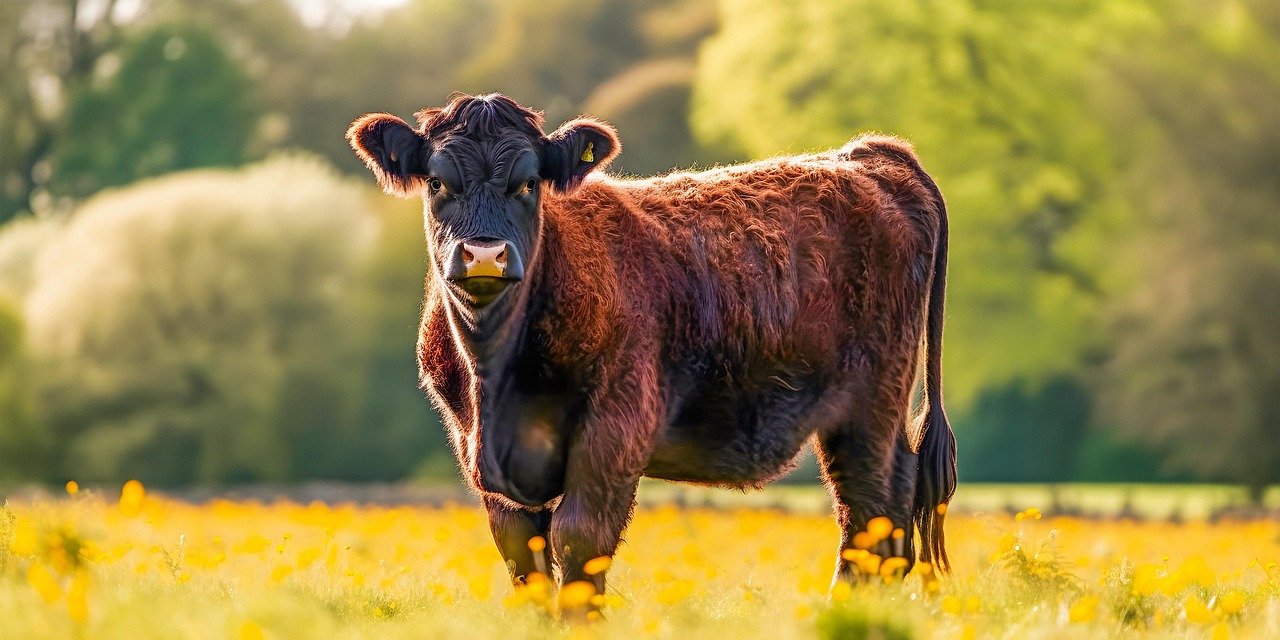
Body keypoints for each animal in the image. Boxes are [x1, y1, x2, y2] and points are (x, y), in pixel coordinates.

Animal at [347, 93, 956, 608]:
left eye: (529, 183)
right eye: (436, 183)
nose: (484, 255)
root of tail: (866, 156)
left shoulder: (616, 427)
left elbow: (580, 542)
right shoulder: (474, 443)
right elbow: (524, 556)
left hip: (869, 408)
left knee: (871, 510)